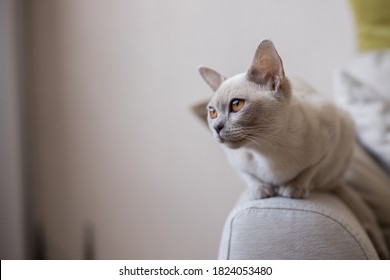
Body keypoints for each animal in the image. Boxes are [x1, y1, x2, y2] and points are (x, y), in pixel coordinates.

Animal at [200, 38, 388, 258]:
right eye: (212, 112)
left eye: (236, 105)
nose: (216, 128)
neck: (267, 149)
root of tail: (336, 182)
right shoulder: (234, 159)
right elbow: (249, 176)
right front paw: (260, 189)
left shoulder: (331, 136)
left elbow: (310, 169)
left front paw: (294, 187)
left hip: (345, 133)